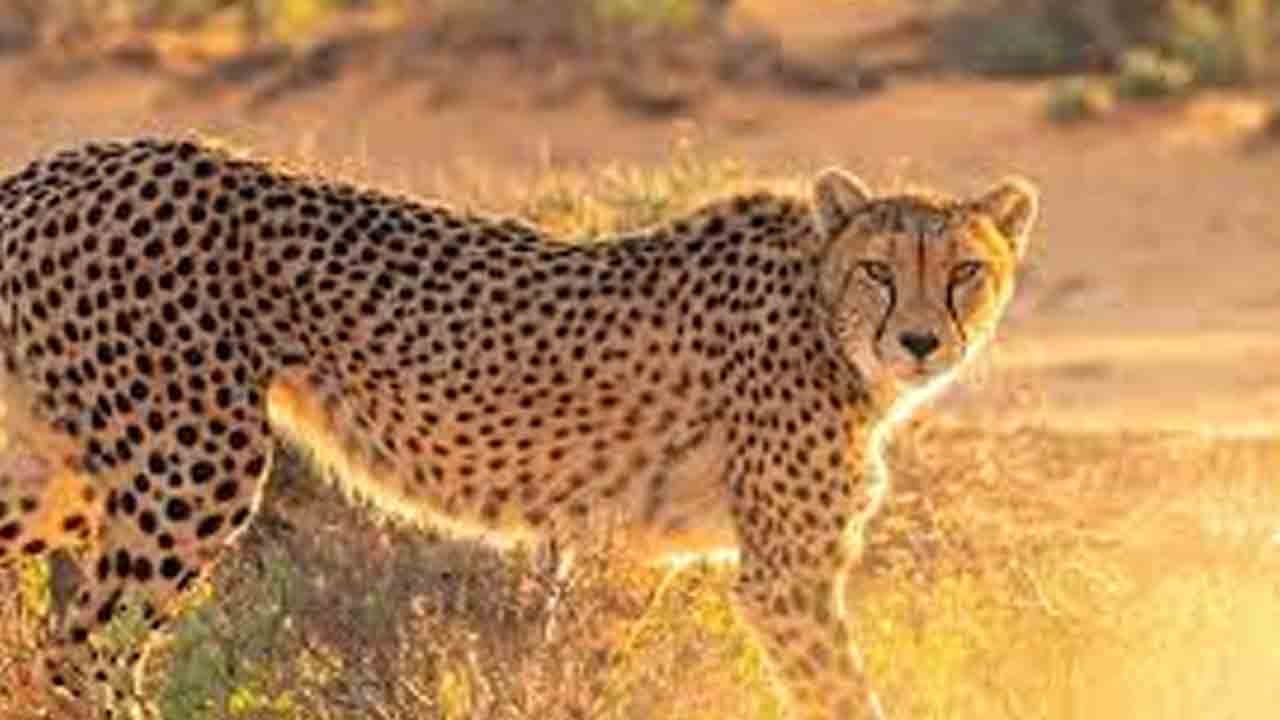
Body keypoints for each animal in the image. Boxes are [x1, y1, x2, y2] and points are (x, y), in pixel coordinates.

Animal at [0, 136, 1038, 719]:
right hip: (191, 462)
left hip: (66, 471)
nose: (920, 341)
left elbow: (590, 673)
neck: (825, 313)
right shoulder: (787, 577)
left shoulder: (631, 556)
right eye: (879, 269)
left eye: (964, 272)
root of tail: (62, 166)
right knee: (86, 646)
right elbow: (844, 692)